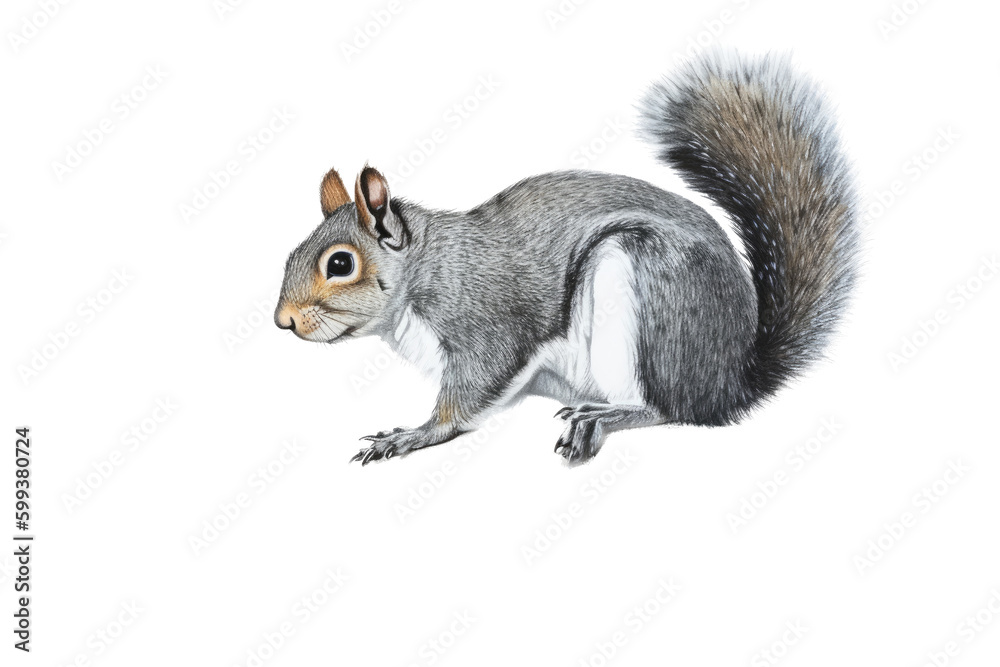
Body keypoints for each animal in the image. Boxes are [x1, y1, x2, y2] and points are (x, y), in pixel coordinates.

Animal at [274, 52, 859, 466]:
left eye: (341, 264)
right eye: (289, 255)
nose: (283, 321)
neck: (426, 269)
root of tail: (731, 382)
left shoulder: (486, 325)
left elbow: (467, 399)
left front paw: (411, 434)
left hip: (645, 293)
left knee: (667, 409)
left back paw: (601, 417)